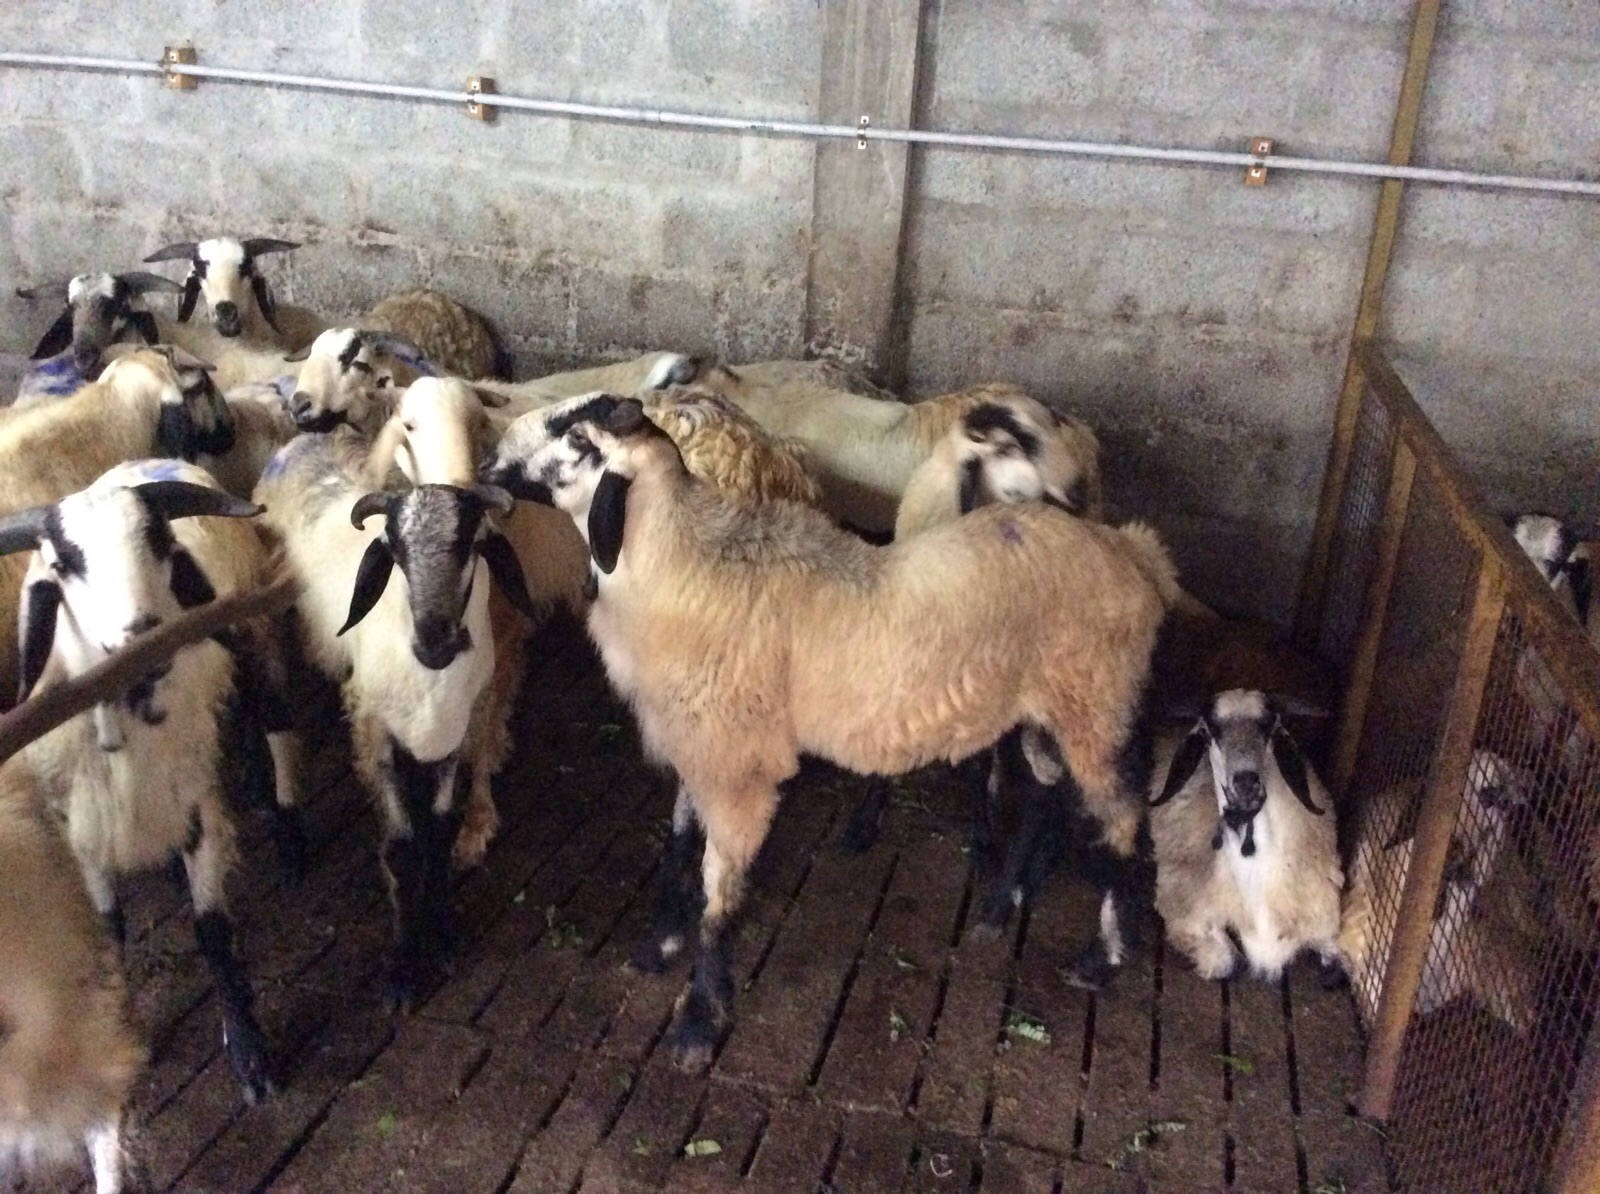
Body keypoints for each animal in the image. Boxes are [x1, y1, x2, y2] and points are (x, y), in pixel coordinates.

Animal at [0, 460, 279, 1101]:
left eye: (161, 542)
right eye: (62, 566)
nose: (143, 638)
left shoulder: (197, 807)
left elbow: (212, 932)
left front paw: (249, 1054)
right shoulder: (82, 830)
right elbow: (110, 929)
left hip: (247, 642)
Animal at [255, 427, 534, 1006]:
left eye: (473, 545)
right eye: (394, 551)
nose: (435, 640)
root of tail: (303, 437)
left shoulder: (457, 731)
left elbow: (442, 830)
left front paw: (444, 934)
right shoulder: (375, 734)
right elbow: (403, 849)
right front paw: (406, 967)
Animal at [482, 393, 1180, 1070]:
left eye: (576, 435)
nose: (489, 460)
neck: (683, 567)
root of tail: (1136, 553)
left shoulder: (736, 766)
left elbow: (719, 893)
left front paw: (698, 1023)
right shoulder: (698, 745)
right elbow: (678, 844)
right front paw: (661, 944)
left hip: (1098, 702)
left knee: (1124, 822)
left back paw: (1101, 958)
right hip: (1044, 709)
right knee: (1044, 791)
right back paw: (1001, 902)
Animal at [1147, 689, 1343, 983]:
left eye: (1269, 726)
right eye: (1209, 731)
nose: (1246, 781)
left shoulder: (1325, 923)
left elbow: (1335, 969)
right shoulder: (1189, 915)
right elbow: (1227, 962)